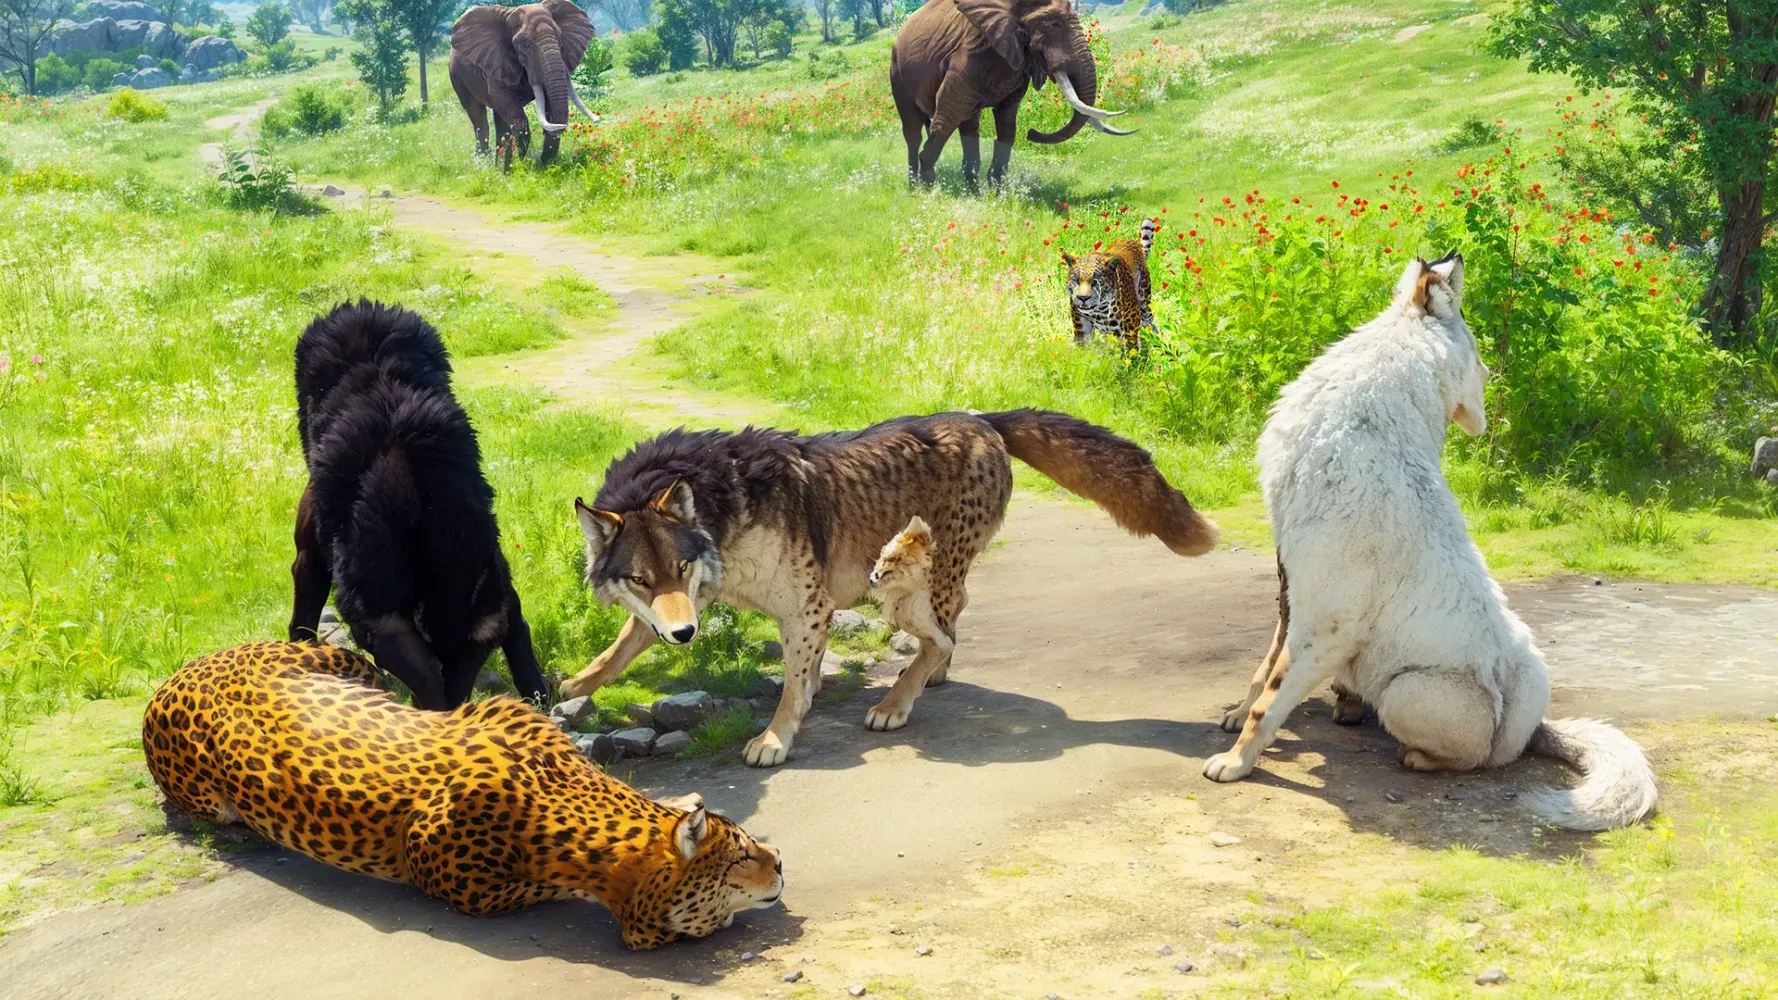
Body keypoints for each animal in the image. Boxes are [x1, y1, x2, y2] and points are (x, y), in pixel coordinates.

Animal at [562, 410, 1219, 767]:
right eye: (643, 578)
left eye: (679, 567)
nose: (684, 636)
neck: (722, 503)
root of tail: (982, 421)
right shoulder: (693, 606)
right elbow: (620, 648)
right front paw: (570, 690)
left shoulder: (805, 603)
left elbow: (790, 685)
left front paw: (775, 737)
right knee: (952, 627)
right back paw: (930, 680)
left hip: (901, 589)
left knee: (940, 638)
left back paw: (896, 702)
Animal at [1202, 255, 1659, 831]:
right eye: (1482, 361)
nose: (1490, 384)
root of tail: (1525, 728)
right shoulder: (1291, 583)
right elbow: (1264, 669)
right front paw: (1237, 716)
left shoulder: (1326, 620)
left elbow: (1273, 698)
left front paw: (1237, 762)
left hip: (1407, 691)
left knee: (1470, 759)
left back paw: (1415, 755)